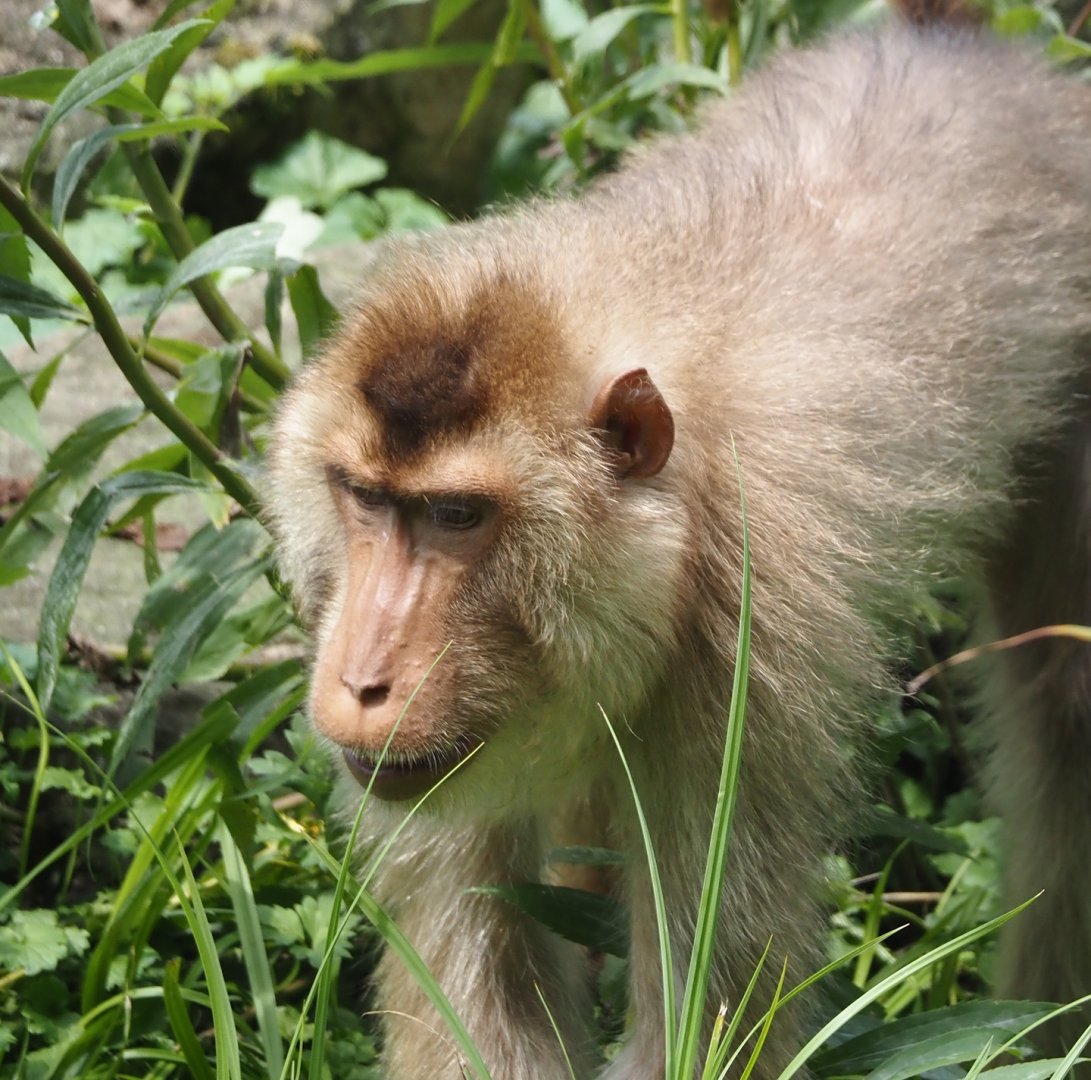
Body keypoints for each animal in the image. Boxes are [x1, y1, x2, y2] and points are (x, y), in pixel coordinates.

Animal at [266, 22, 1091, 1078]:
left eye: (455, 515)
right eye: (365, 498)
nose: (364, 680)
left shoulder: (745, 644)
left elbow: (707, 1016)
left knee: (1064, 703)